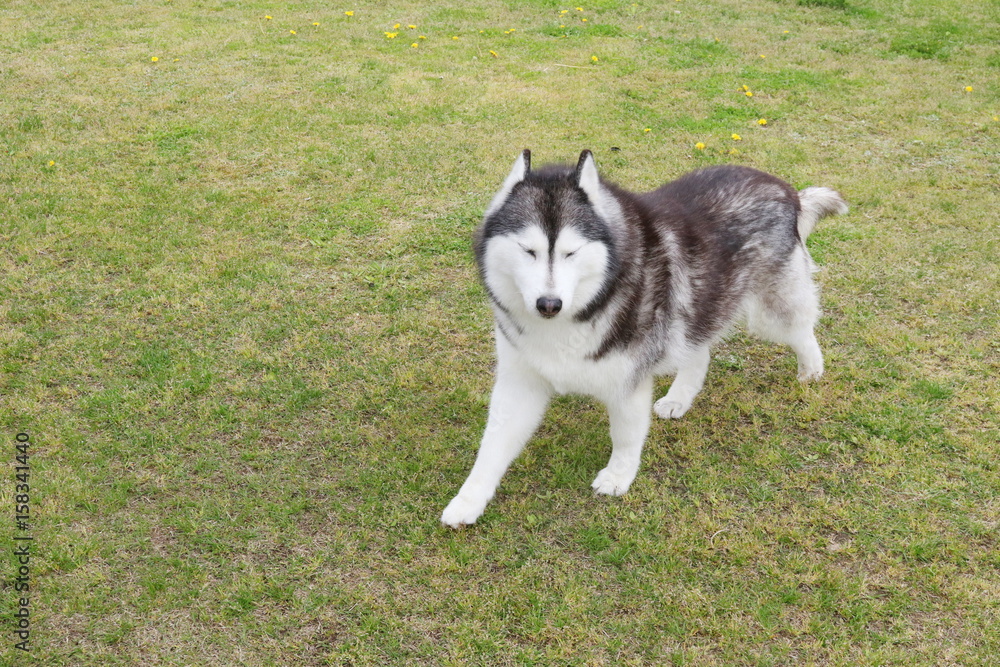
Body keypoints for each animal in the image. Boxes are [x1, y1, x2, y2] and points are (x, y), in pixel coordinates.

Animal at [442, 150, 848, 528]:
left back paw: (811, 369)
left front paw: (618, 476)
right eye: (529, 251)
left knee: (801, 329)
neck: (581, 311)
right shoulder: (520, 380)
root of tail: (783, 187)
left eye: (571, 252)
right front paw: (468, 500)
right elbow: (492, 446)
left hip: (769, 314)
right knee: (698, 351)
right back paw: (680, 398)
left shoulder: (627, 382)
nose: (549, 304)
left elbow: (624, 435)